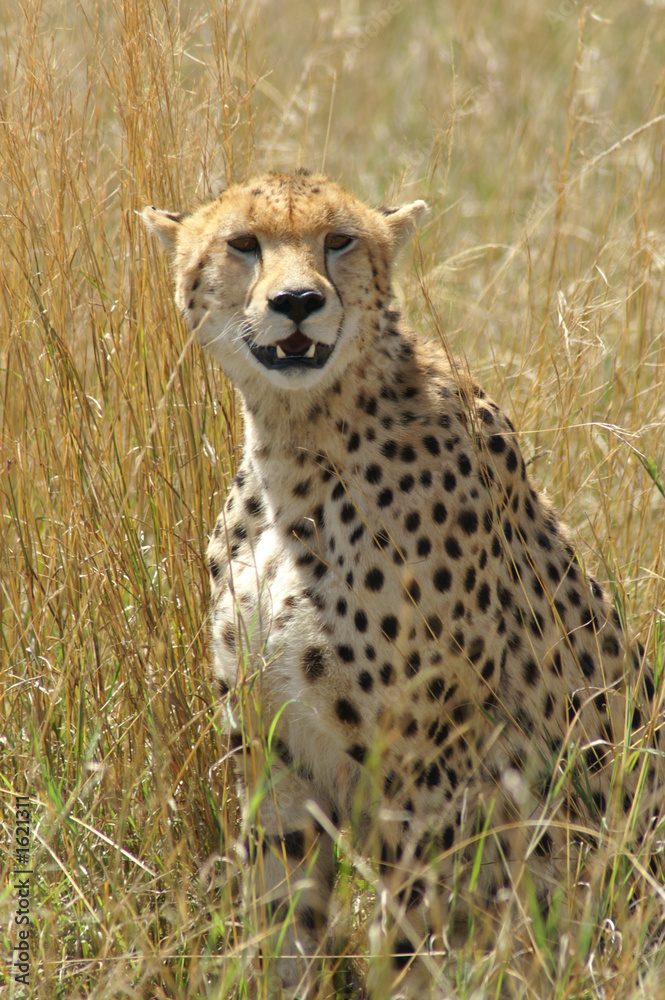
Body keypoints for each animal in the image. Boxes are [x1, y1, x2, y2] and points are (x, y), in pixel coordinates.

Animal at [142, 169, 664, 999]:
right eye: (243, 243)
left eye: (339, 240)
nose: (297, 301)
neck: (298, 442)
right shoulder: (274, 754)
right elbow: (283, 923)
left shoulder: (426, 770)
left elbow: (409, 938)